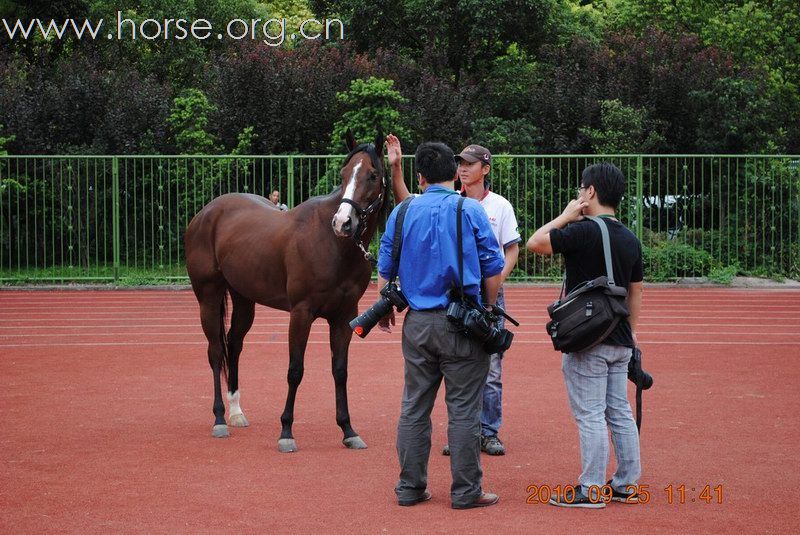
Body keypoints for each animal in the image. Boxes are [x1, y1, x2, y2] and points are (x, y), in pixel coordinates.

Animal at [185, 133, 390, 452]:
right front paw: (286, 432)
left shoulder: (345, 317)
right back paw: (219, 419)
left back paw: (236, 412)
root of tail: (205, 214)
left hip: (244, 299)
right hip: (208, 296)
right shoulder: (301, 313)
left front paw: (348, 430)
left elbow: (340, 371)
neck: (332, 244)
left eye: (373, 175)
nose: (342, 223)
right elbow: (295, 370)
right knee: (216, 351)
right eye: (344, 174)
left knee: (234, 344)